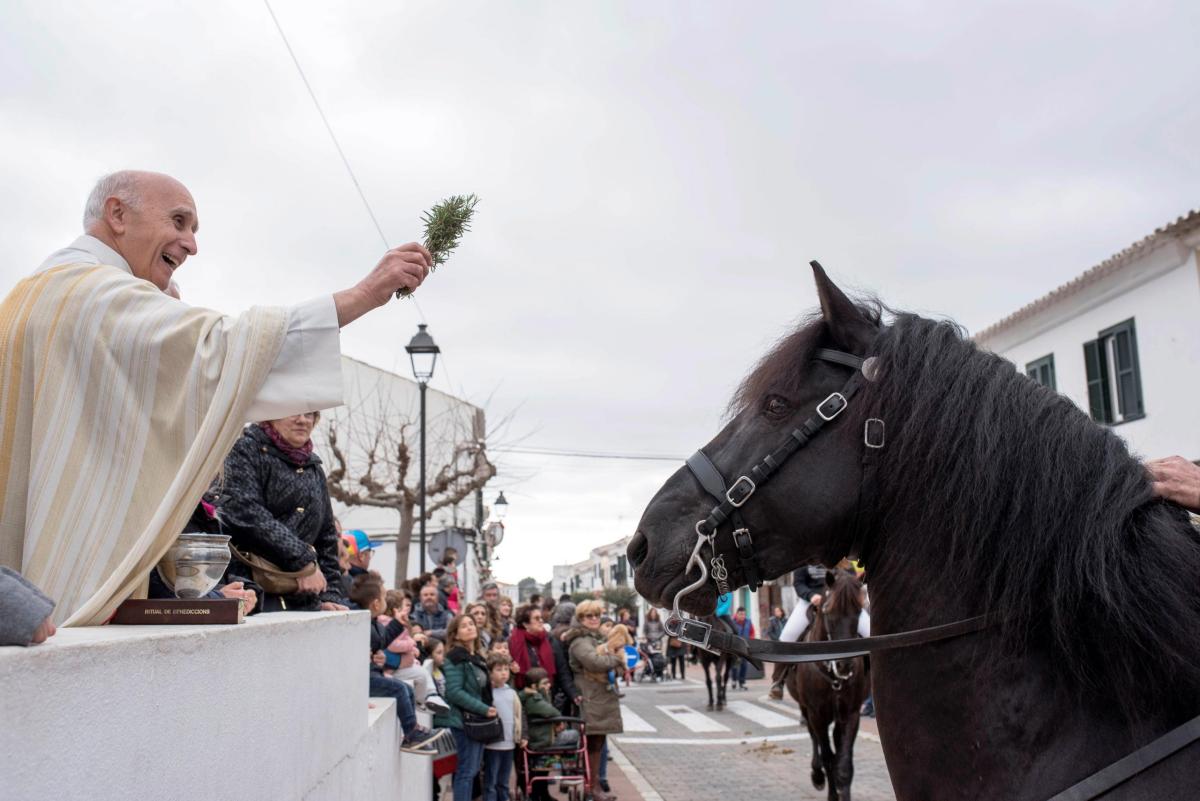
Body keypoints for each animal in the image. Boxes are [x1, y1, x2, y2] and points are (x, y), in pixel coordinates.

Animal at [782, 568, 868, 801]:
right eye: (828, 611)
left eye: (859, 610)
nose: (845, 664)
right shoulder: (817, 714)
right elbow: (829, 758)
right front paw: (830, 791)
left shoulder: (851, 714)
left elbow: (844, 765)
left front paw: (842, 791)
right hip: (806, 709)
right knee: (814, 739)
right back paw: (817, 775)